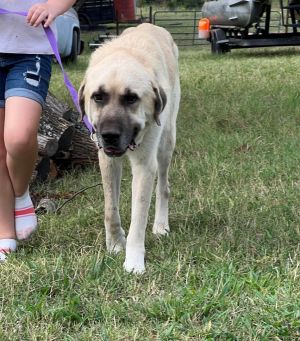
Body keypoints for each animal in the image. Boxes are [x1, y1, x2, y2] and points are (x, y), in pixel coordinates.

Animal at [78, 22, 180, 272]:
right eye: (98, 97)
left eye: (131, 98)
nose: (109, 136)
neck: (125, 56)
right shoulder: (107, 161)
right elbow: (110, 209)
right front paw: (115, 244)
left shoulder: (145, 166)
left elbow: (138, 218)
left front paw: (134, 260)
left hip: (166, 143)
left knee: (164, 187)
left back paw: (161, 225)